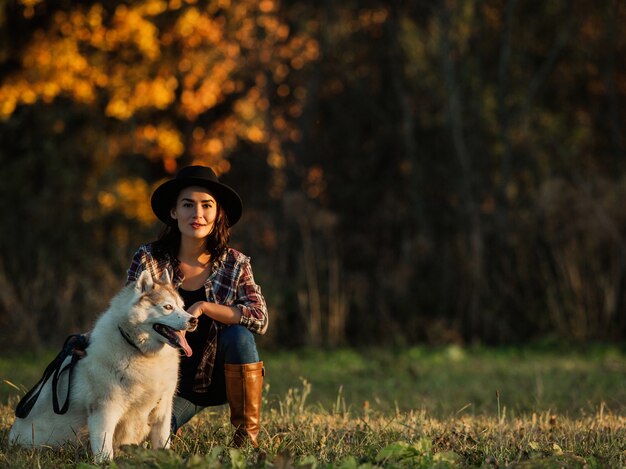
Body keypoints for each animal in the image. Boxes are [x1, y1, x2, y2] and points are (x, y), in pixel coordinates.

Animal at [8, 270, 196, 460]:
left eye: (182, 306)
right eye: (168, 307)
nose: (194, 320)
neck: (141, 352)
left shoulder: (163, 409)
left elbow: (163, 442)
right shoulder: (105, 410)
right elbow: (104, 446)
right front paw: (105, 462)